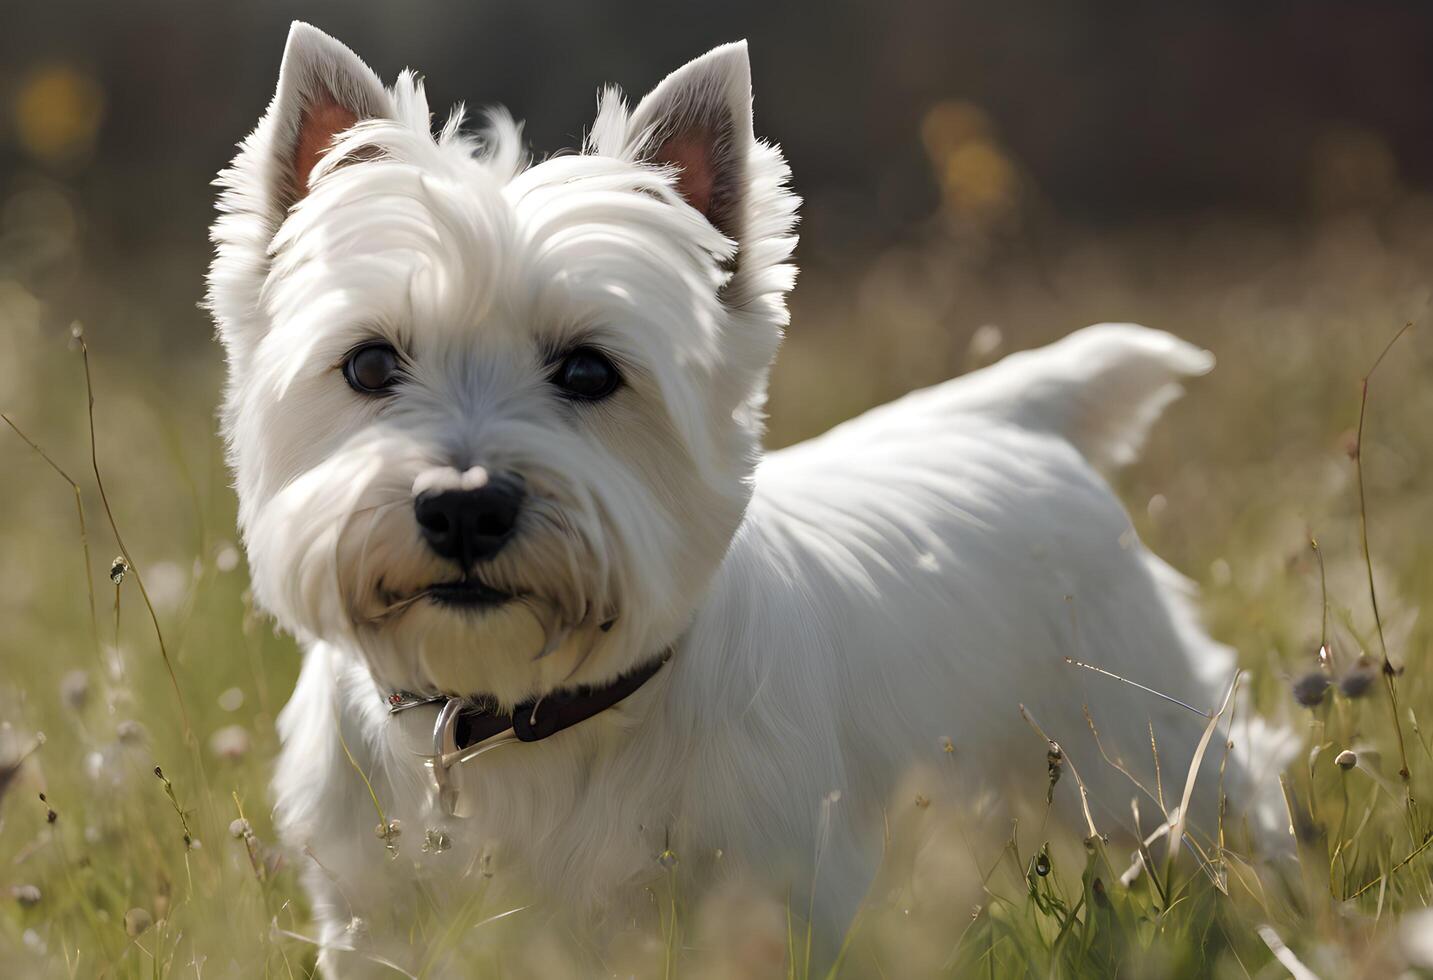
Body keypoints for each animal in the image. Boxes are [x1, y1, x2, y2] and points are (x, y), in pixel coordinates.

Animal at [209, 22, 1289, 974]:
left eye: (589, 371)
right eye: (368, 363)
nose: (463, 507)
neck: (514, 715)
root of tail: (1014, 417)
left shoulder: (774, 896)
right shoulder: (371, 919)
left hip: (1144, 749)